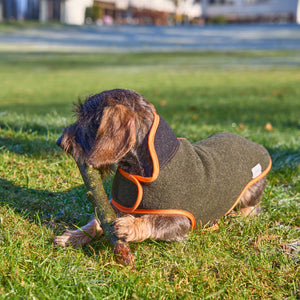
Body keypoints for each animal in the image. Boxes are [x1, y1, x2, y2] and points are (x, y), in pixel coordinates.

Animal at [54, 89, 272, 248]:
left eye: (87, 119)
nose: (60, 141)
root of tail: (254, 143)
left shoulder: (182, 220)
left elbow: (154, 220)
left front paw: (129, 225)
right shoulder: (115, 205)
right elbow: (98, 220)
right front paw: (74, 235)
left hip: (251, 191)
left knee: (253, 207)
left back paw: (239, 215)